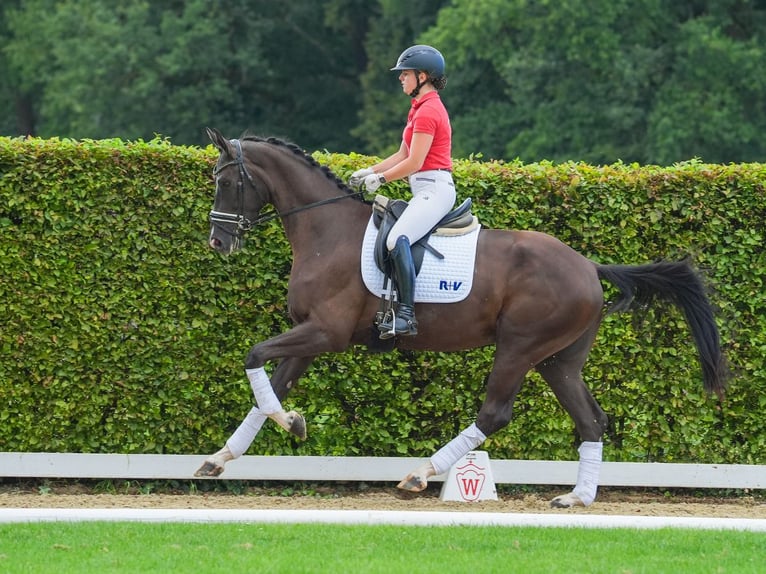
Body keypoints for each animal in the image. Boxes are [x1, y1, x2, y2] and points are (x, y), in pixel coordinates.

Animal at [195, 129, 728, 508]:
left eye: (226, 182)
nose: (218, 243)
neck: (326, 231)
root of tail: (588, 266)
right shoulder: (310, 336)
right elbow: (269, 389)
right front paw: (224, 456)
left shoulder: (325, 333)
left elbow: (254, 356)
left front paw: (289, 424)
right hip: (558, 360)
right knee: (591, 420)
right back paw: (576, 497)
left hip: (519, 346)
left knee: (495, 413)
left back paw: (419, 475)